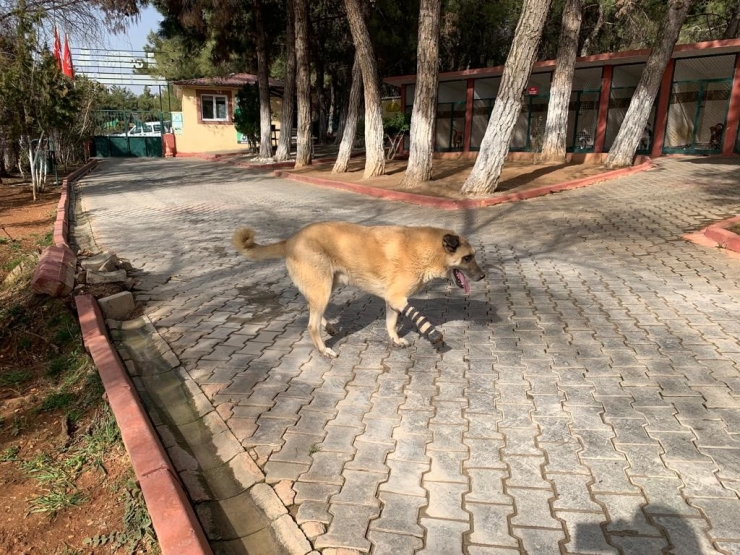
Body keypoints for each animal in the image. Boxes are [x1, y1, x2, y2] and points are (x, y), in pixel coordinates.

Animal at [233, 223, 486, 358]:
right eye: (467, 258)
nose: (483, 276)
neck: (427, 251)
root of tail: (290, 240)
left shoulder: (392, 300)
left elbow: (391, 323)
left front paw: (395, 339)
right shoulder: (397, 297)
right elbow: (417, 318)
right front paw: (433, 335)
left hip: (325, 287)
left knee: (311, 308)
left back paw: (329, 327)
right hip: (323, 288)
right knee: (311, 325)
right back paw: (324, 350)